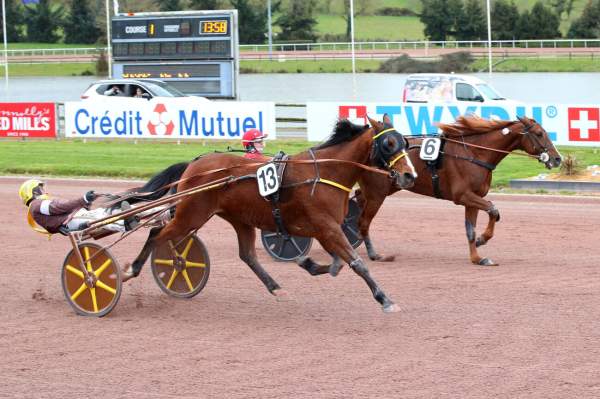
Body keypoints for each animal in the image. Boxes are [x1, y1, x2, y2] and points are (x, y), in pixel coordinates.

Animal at [125, 117, 418, 314]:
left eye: (404, 142)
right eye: (389, 143)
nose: (409, 175)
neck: (325, 173)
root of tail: (195, 164)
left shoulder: (326, 229)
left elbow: (337, 264)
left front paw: (310, 263)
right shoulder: (327, 227)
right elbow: (356, 263)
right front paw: (385, 300)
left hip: (238, 218)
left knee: (247, 255)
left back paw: (276, 287)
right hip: (191, 213)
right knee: (156, 233)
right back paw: (131, 269)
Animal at [354, 114, 560, 268]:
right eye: (539, 133)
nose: (557, 158)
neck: (475, 153)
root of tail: (369, 149)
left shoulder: (473, 198)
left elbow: (471, 230)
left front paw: (477, 257)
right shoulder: (463, 196)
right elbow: (493, 210)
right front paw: (482, 239)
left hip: (386, 188)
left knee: (358, 200)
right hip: (378, 193)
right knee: (363, 221)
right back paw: (372, 253)